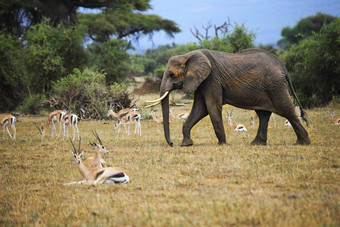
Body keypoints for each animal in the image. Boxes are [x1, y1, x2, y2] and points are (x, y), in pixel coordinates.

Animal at [146, 48, 310, 146]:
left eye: (171, 74)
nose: (172, 143)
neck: (188, 55)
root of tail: (283, 67)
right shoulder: (201, 80)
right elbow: (200, 109)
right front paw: (186, 144)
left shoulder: (211, 78)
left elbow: (211, 106)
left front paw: (222, 144)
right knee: (264, 114)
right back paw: (256, 144)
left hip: (275, 86)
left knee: (287, 110)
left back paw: (302, 143)